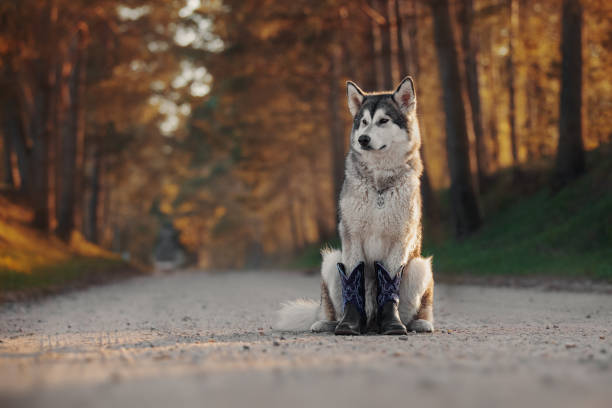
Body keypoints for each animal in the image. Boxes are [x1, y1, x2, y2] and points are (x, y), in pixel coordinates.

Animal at [274, 76, 432, 334]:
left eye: (383, 121)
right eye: (364, 122)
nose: (363, 139)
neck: (379, 186)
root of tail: (371, 325)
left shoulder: (400, 239)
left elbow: (390, 281)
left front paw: (394, 323)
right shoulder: (353, 237)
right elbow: (353, 278)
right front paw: (348, 323)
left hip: (420, 267)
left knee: (417, 309)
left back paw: (419, 323)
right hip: (330, 262)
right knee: (331, 309)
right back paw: (327, 323)